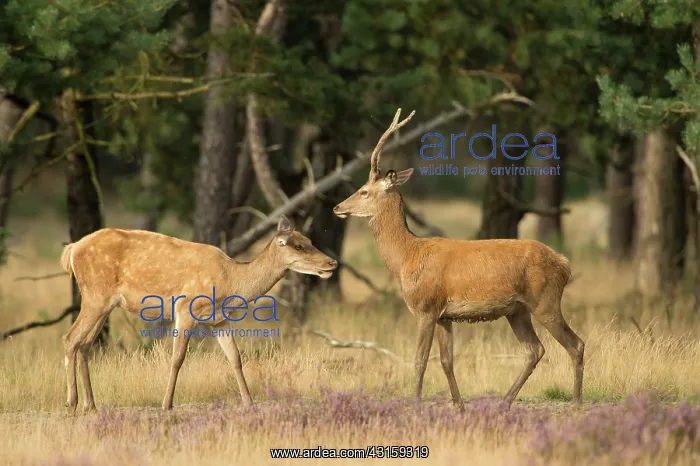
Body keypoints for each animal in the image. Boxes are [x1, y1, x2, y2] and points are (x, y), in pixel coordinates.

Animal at [59, 215, 337, 413]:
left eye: (310, 240)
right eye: (299, 246)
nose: (331, 263)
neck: (230, 282)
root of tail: (72, 250)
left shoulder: (219, 319)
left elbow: (235, 358)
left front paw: (249, 403)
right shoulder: (186, 308)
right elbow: (177, 358)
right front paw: (166, 404)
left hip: (104, 303)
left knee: (84, 344)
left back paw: (91, 405)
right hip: (95, 296)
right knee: (70, 339)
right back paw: (72, 403)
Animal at [333, 109, 584, 409]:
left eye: (364, 190)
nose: (337, 207)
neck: (406, 257)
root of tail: (565, 265)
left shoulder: (426, 307)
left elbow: (420, 361)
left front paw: (415, 404)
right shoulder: (445, 316)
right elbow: (446, 361)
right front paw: (459, 406)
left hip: (544, 300)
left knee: (575, 344)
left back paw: (576, 402)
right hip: (518, 310)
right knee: (535, 350)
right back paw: (504, 401)